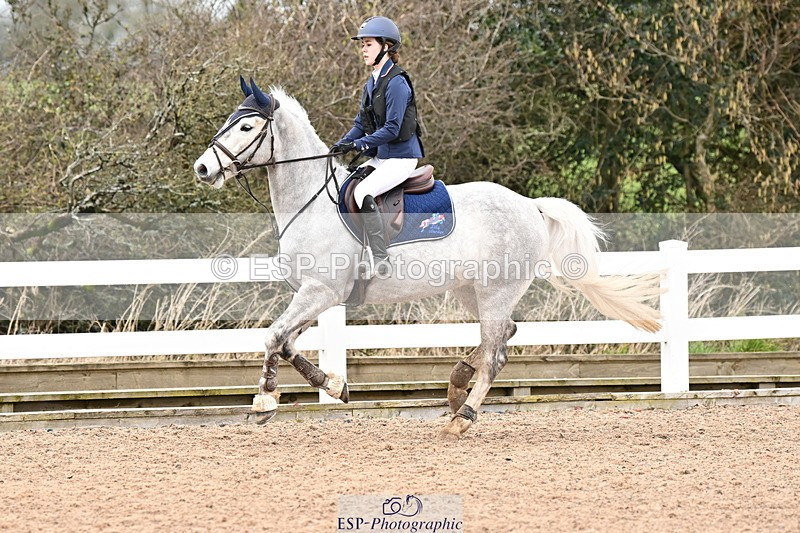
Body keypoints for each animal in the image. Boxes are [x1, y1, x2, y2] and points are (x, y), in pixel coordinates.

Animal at [193, 78, 662, 440]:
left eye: (246, 126)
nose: (202, 169)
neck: (310, 202)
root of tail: (531, 205)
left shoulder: (321, 291)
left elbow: (274, 337)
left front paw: (263, 400)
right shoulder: (315, 294)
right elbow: (287, 342)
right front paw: (334, 385)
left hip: (495, 290)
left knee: (496, 353)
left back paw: (463, 417)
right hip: (472, 291)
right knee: (503, 336)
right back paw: (456, 386)